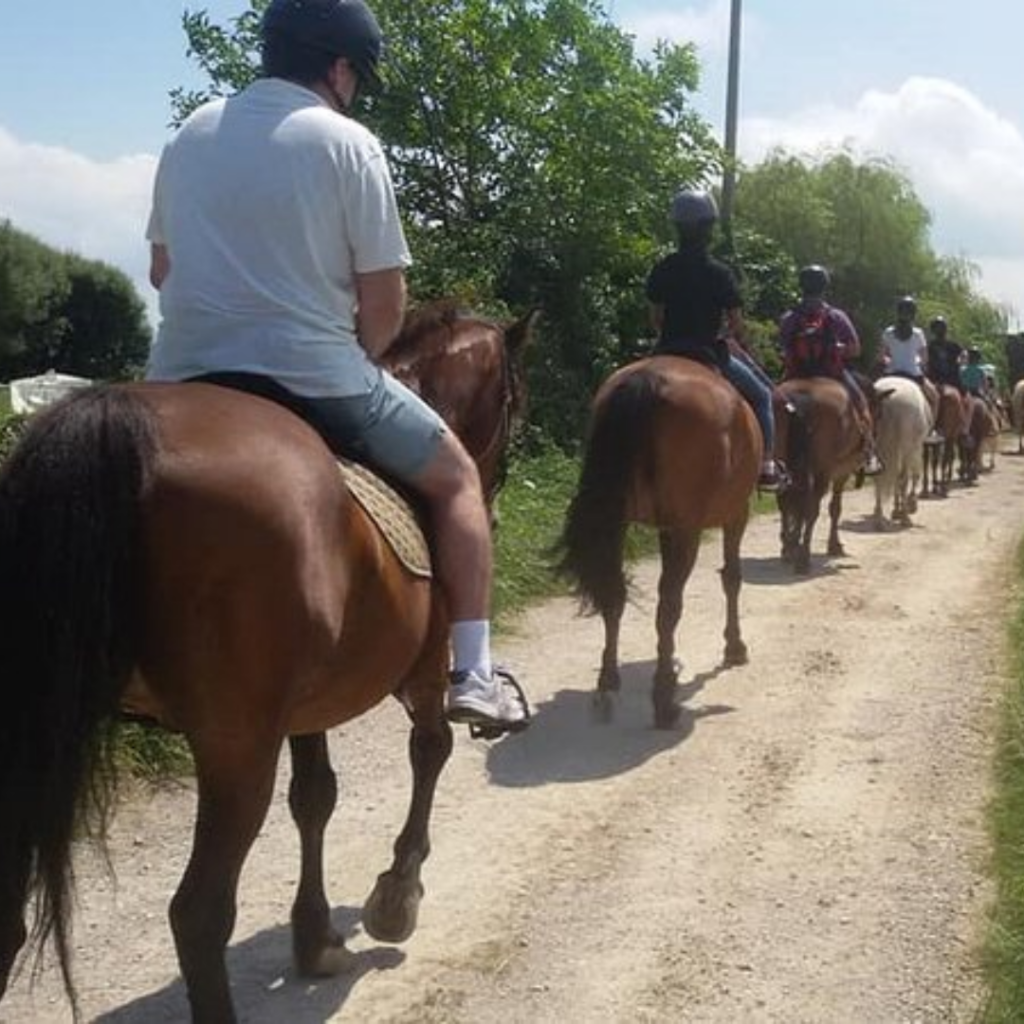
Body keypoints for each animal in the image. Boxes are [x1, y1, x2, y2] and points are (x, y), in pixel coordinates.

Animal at [2, 303, 536, 1024]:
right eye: (513, 398)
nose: (494, 504)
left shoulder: (307, 705)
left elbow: (315, 798)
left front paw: (315, 937)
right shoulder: (425, 672)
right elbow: (432, 750)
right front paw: (396, 895)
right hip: (237, 748)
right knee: (198, 914)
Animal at [552, 356, 761, 733]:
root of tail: (648, 379)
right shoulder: (736, 513)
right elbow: (732, 577)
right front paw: (734, 646)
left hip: (619, 519)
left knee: (614, 596)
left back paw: (608, 683)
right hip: (688, 528)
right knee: (669, 606)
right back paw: (664, 699)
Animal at [774, 378, 872, 577]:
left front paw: (791, 544)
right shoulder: (841, 472)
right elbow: (835, 508)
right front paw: (834, 545)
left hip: (785, 462)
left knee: (786, 503)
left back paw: (789, 548)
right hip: (822, 471)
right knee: (810, 510)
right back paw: (803, 559)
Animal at [872, 376, 929, 528]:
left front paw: (896, 509)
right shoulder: (914, 449)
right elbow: (914, 475)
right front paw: (910, 505)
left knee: (878, 478)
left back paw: (878, 518)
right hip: (908, 449)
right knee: (904, 479)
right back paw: (905, 518)